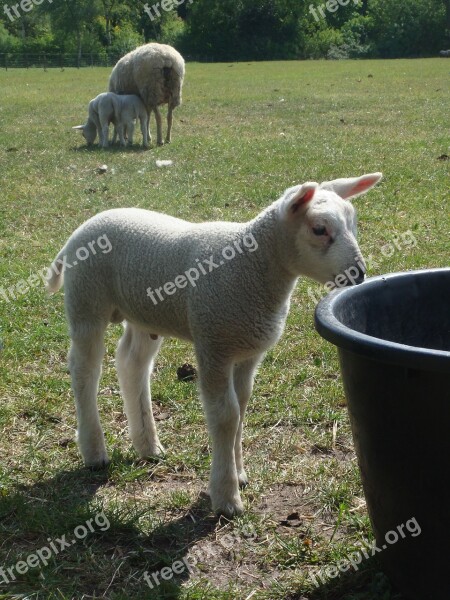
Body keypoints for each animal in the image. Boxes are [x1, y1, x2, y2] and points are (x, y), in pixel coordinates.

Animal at [46, 172, 384, 516]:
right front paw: (226, 497)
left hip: (143, 314)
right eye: (319, 229)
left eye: (353, 223)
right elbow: (225, 416)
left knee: (132, 364)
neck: (253, 265)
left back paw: (148, 445)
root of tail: (79, 232)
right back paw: (94, 451)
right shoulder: (214, 344)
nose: (359, 274)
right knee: (85, 370)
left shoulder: (247, 351)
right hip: (86, 301)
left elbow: (242, 407)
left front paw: (240, 473)